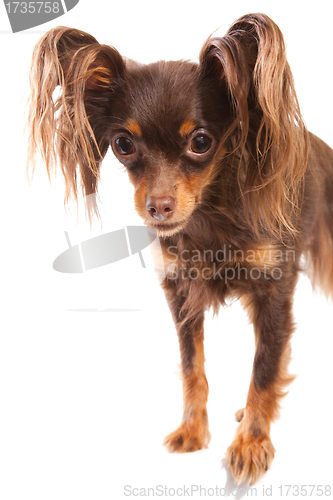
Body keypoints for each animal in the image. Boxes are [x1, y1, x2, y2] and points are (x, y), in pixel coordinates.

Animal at [27, 13, 332, 486]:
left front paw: (251, 443)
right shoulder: (181, 294)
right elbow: (194, 367)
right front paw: (194, 429)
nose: (158, 207)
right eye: (123, 144)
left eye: (201, 142)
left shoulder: (274, 291)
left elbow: (264, 370)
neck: (210, 213)